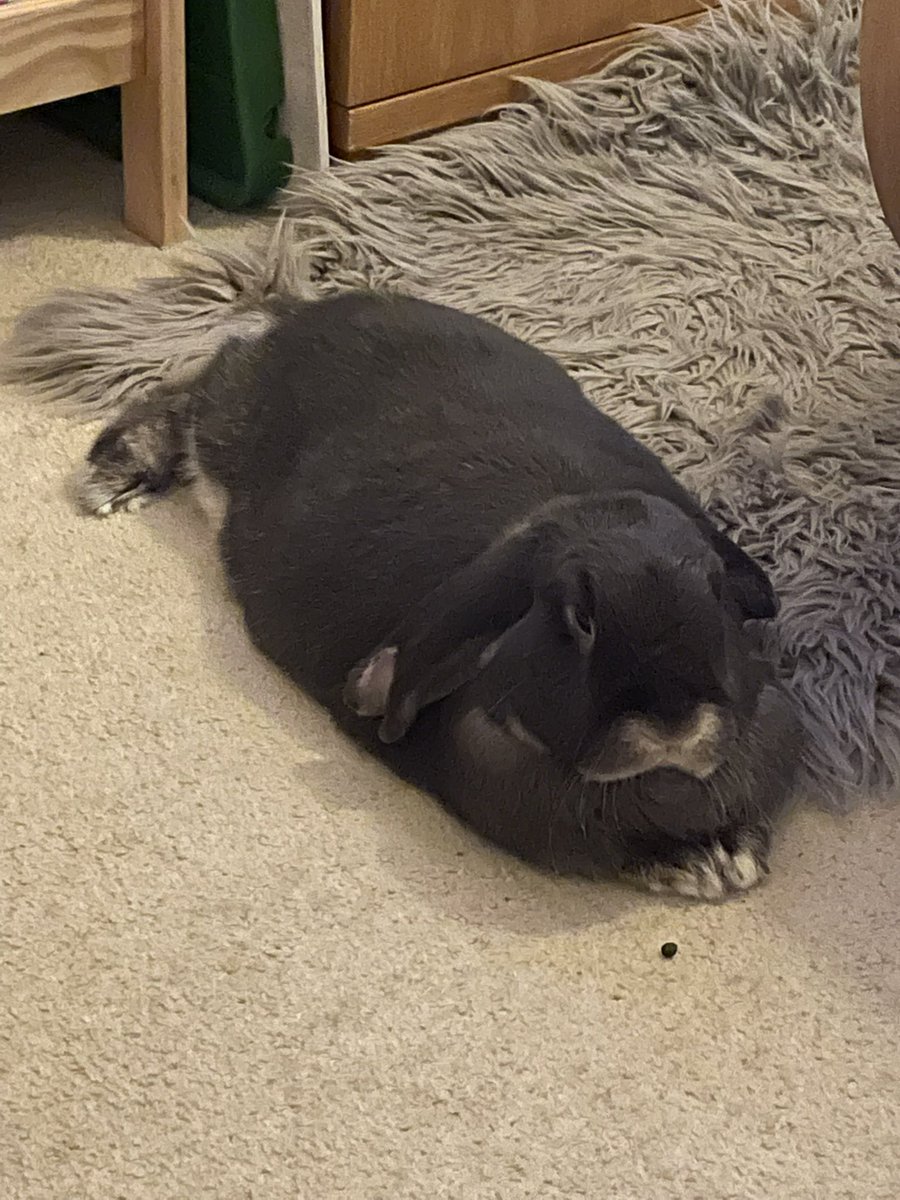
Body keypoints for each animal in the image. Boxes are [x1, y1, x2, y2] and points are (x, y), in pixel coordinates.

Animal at [77, 291, 802, 900]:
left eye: (714, 589)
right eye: (580, 620)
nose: (675, 724)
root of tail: (297, 317)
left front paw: (730, 853)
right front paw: (699, 862)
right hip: (225, 426)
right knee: (186, 394)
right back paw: (114, 479)